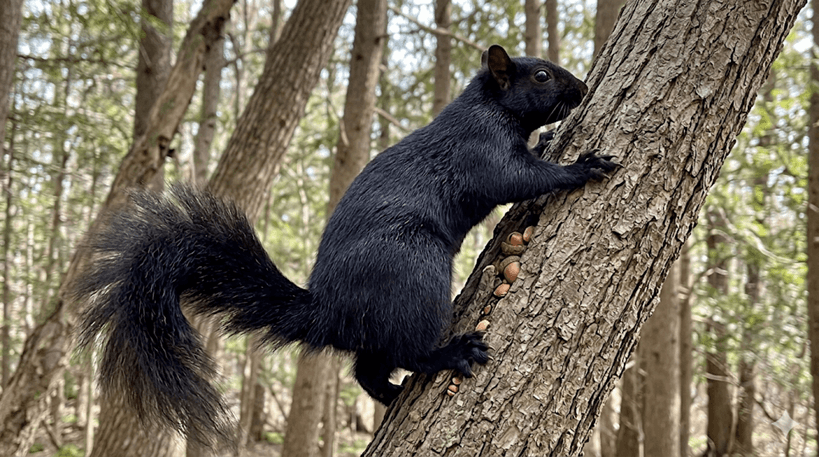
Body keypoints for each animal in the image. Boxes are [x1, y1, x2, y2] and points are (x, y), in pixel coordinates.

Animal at [76, 44, 616, 445]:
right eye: (542, 76)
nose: (583, 88)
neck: (489, 106)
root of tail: (329, 310)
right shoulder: (480, 150)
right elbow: (520, 179)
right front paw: (582, 166)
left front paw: (547, 140)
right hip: (413, 266)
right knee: (404, 349)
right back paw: (450, 354)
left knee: (367, 369)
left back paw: (392, 394)